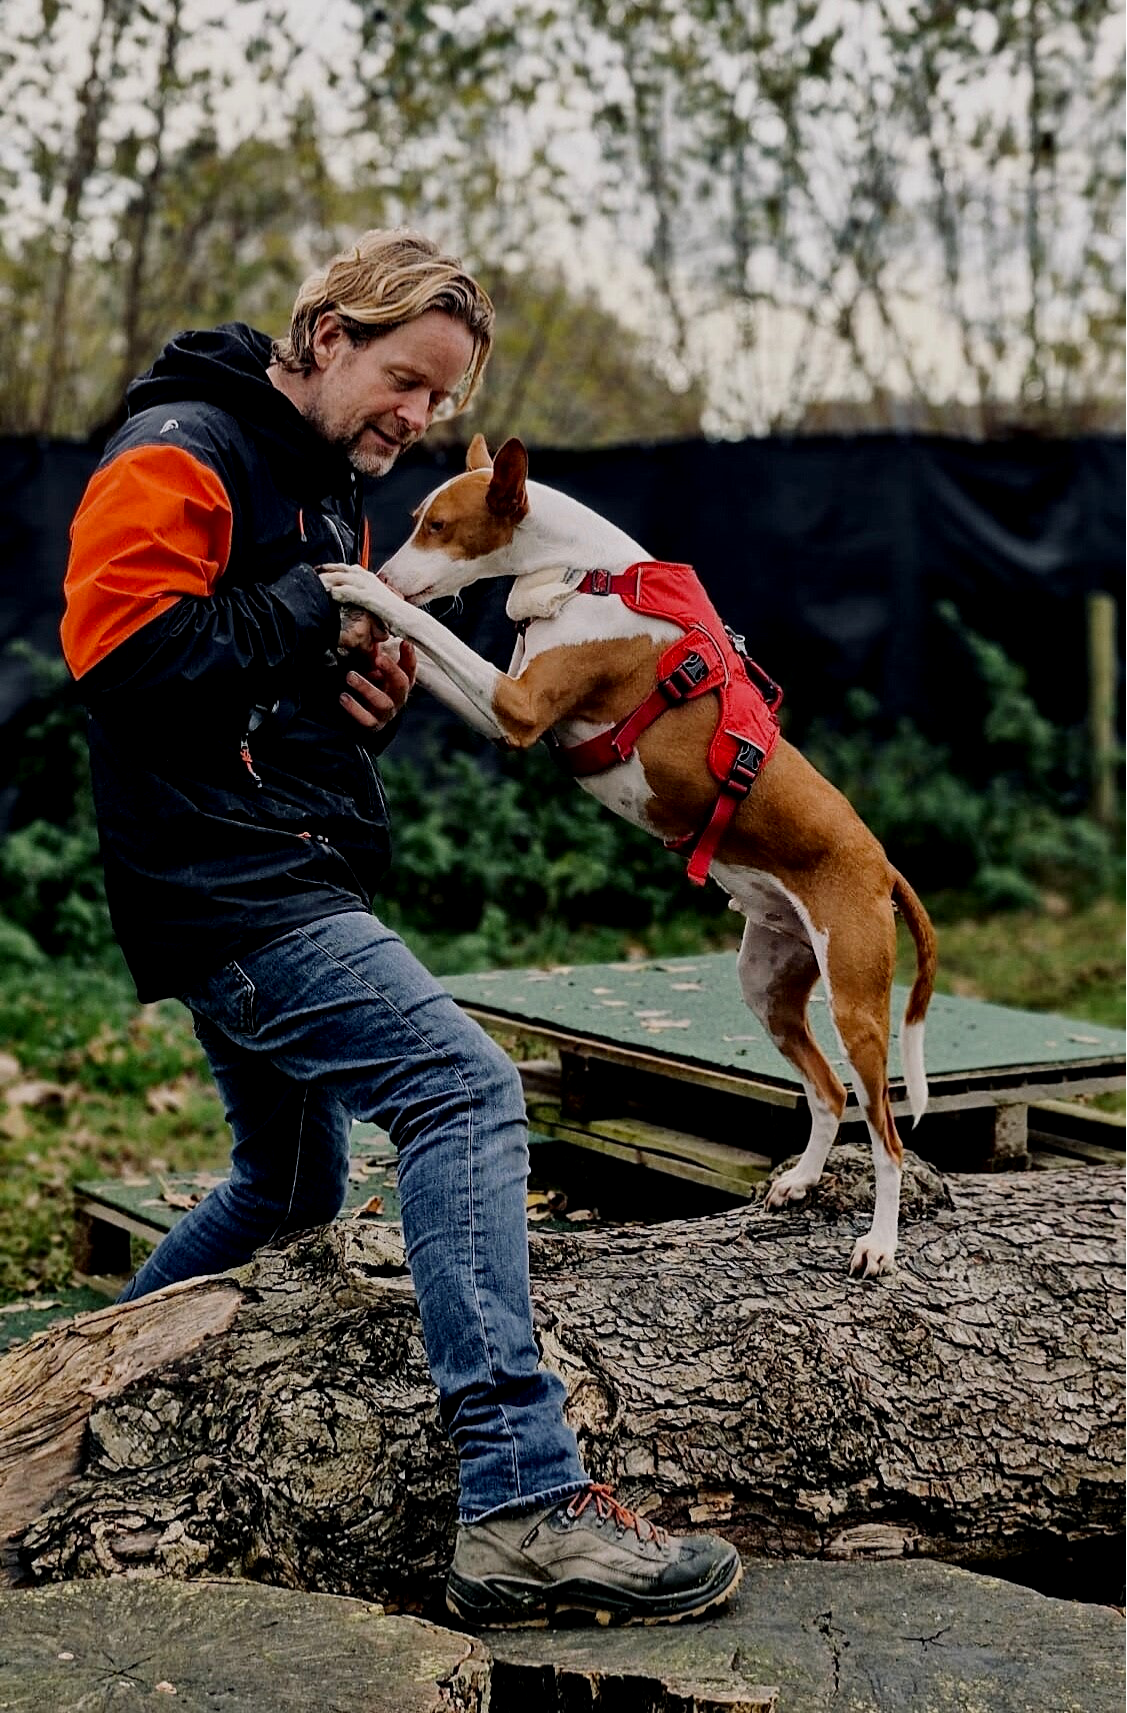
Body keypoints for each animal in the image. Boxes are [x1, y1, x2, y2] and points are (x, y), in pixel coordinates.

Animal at [322, 435, 937, 1276]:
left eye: (438, 526)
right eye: (418, 520)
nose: (385, 572)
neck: (581, 572)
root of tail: (883, 867)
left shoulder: (516, 709)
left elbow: (435, 634)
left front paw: (364, 595)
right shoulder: (500, 711)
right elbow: (430, 660)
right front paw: (378, 635)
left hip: (856, 1004)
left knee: (886, 1132)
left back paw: (878, 1242)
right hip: (768, 984)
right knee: (828, 1093)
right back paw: (800, 1181)